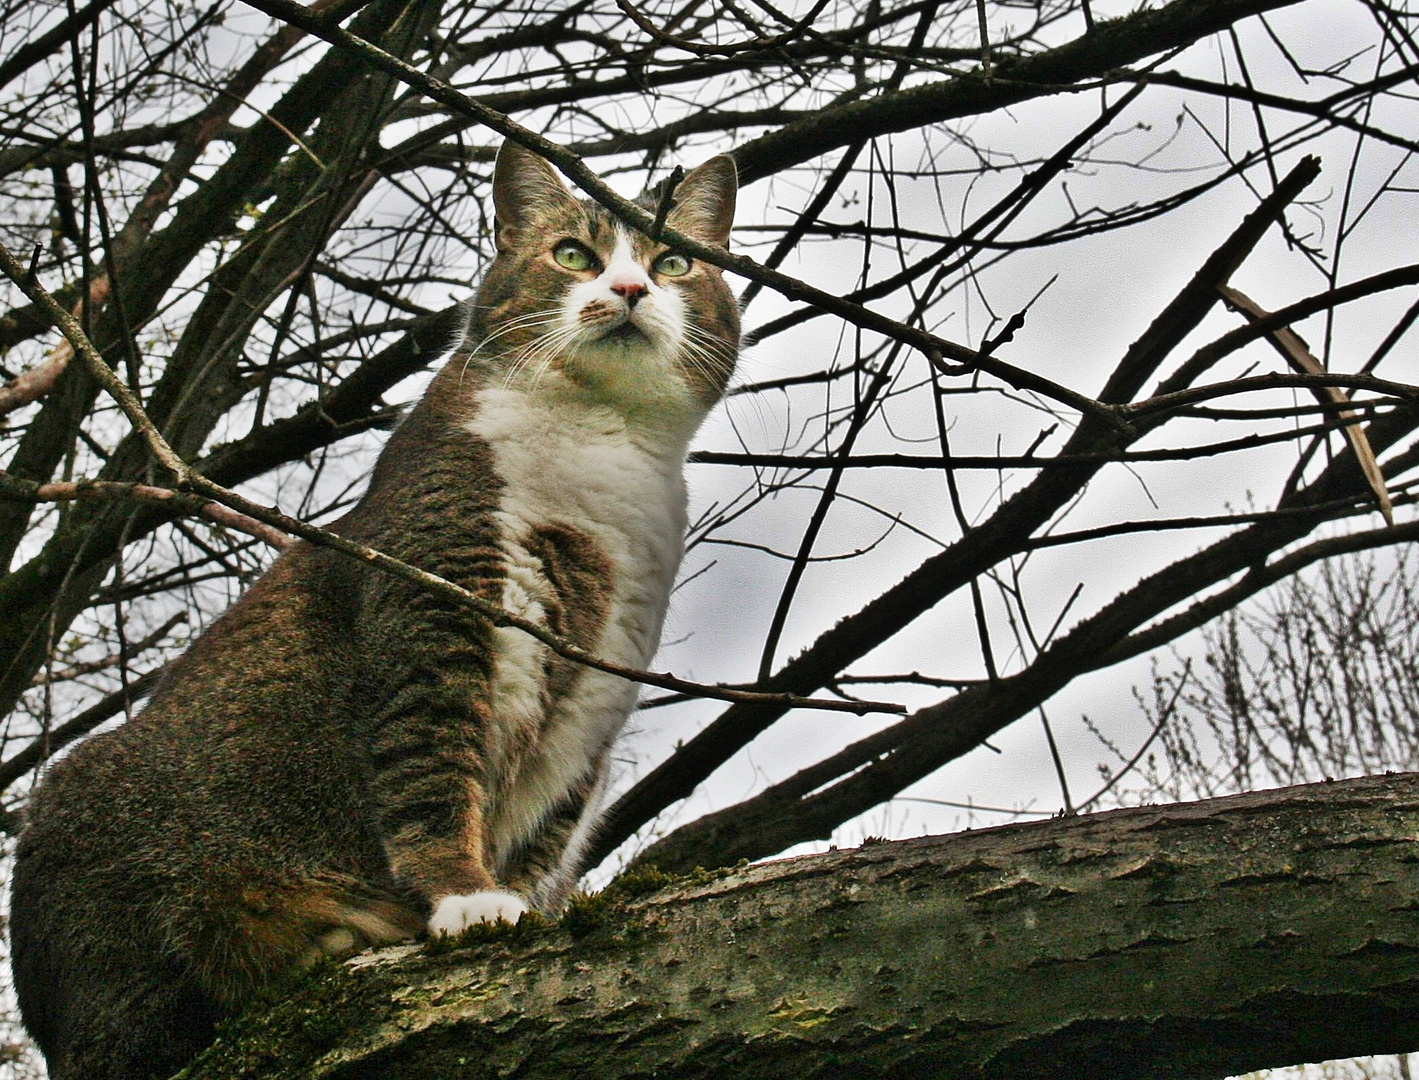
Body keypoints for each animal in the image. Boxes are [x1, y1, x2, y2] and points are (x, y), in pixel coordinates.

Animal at [8, 141, 743, 1078]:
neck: (599, 451)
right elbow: (429, 768)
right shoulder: (435, 597)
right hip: (93, 833)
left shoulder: (597, 692)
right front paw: (468, 902)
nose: (629, 288)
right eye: (573, 254)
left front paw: (520, 902)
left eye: (673, 263)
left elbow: (544, 829)